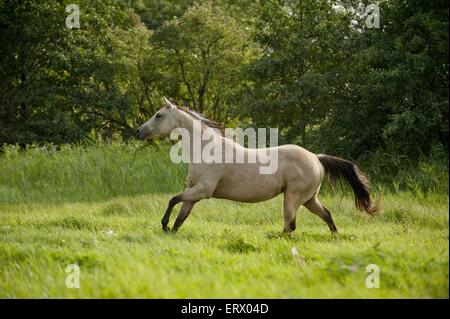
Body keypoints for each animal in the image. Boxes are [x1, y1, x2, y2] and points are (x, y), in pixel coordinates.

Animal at [135, 99, 378, 235]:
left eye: (158, 115)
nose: (138, 132)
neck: (205, 149)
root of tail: (316, 158)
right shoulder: (194, 192)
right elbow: (181, 215)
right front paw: (170, 231)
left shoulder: (203, 191)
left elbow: (172, 200)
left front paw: (163, 225)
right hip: (309, 199)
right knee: (324, 215)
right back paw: (335, 236)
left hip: (293, 197)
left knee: (290, 226)